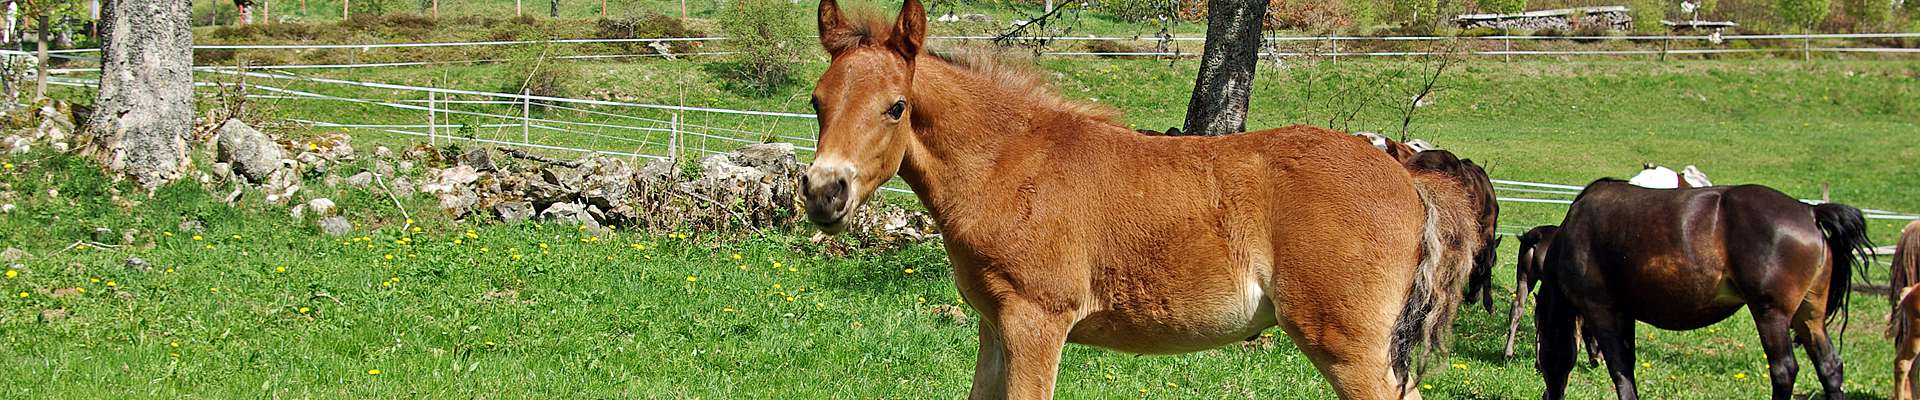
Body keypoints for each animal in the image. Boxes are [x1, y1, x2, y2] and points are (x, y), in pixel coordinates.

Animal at [1528, 179, 1873, 398]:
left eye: (1543, 358)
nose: (1548, 393)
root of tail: (1810, 211)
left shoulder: (1601, 311)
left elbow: (1620, 372)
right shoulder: (1625, 314)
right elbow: (1629, 368)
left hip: (1770, 314)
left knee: (1784, 370)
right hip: (1808, 316)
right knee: (1829, 367)